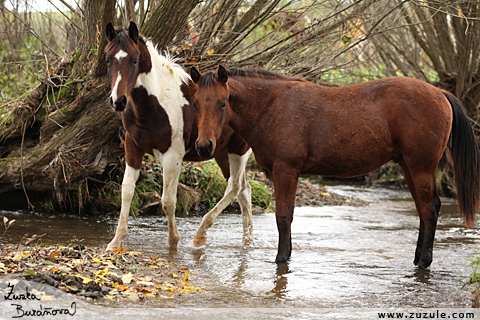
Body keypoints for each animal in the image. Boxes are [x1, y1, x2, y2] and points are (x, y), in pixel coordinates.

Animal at [103, 22, 253, 250]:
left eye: (135, 59)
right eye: (108, 59)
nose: (118, 101)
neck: (155, 103)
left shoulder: (172, 156)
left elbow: (168, 201)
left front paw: (173, 242)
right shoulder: (132, 147)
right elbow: (127, 191)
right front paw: (115, 242)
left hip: (238, 151)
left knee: (235, 187)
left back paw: (201, 234)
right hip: (222, 153)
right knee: (244, 191)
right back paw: (247, 242)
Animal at [191, 65, 480, 268]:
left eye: (223, 102)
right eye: (195, 103)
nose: (204, 146)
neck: (272, 106)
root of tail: (439, 93)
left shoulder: (286, 171)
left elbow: (283, 217)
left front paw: (281, 258)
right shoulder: (276, 173)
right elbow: (286, 216)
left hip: (420, 166)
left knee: (429, 209)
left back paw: (423, 262)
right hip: (408, 165)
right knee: (424, 209)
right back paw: (418, 257)